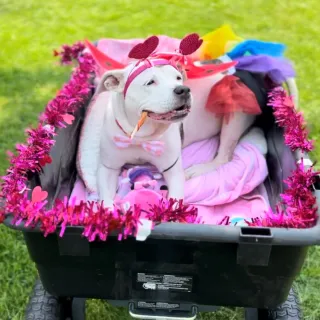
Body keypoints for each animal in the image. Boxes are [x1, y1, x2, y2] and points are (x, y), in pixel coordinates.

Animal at [87, 62, 192, 208]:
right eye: (150, 82)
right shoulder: (108, 168)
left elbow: (175, 200)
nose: (184, 89)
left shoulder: (172, 170)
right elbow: (106, 201)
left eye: (178, 78)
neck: (140, 137)